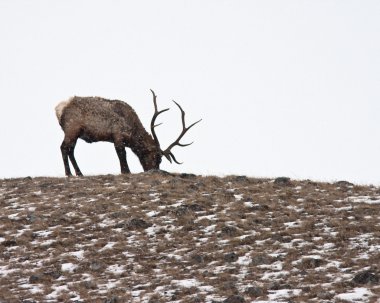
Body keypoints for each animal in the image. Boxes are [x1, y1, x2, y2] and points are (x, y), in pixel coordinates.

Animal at [55, 89, 202, 177]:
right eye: (157, 157)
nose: (153, 171)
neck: (132, 132)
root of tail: (59, 108)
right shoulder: (118, 135)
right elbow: (122, 154)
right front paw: (126, 171)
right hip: (72, 129)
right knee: (63, 147)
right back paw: (68, 173)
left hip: (75, 133)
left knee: (71, 150)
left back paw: (79, 173)